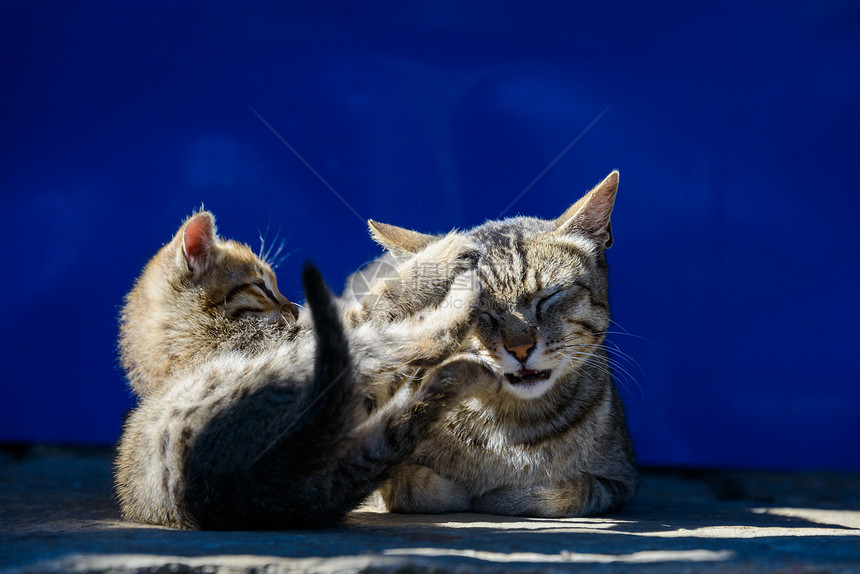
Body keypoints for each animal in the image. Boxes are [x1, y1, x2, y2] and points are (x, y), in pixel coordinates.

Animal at [116, 212, 488, 532]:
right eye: (263, 287)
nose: (295, 310)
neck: (194, 331)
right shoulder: (307, 336)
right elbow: (381, 299)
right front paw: (443, 255)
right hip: (308, 360)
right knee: (424, 344)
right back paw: (463, 302)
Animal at [366, 173, 636, 520]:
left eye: (548, 297)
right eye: (477, 311)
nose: (521, 348)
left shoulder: (621, 479)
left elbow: (571, 492)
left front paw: (506, 495)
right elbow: (408, 486)